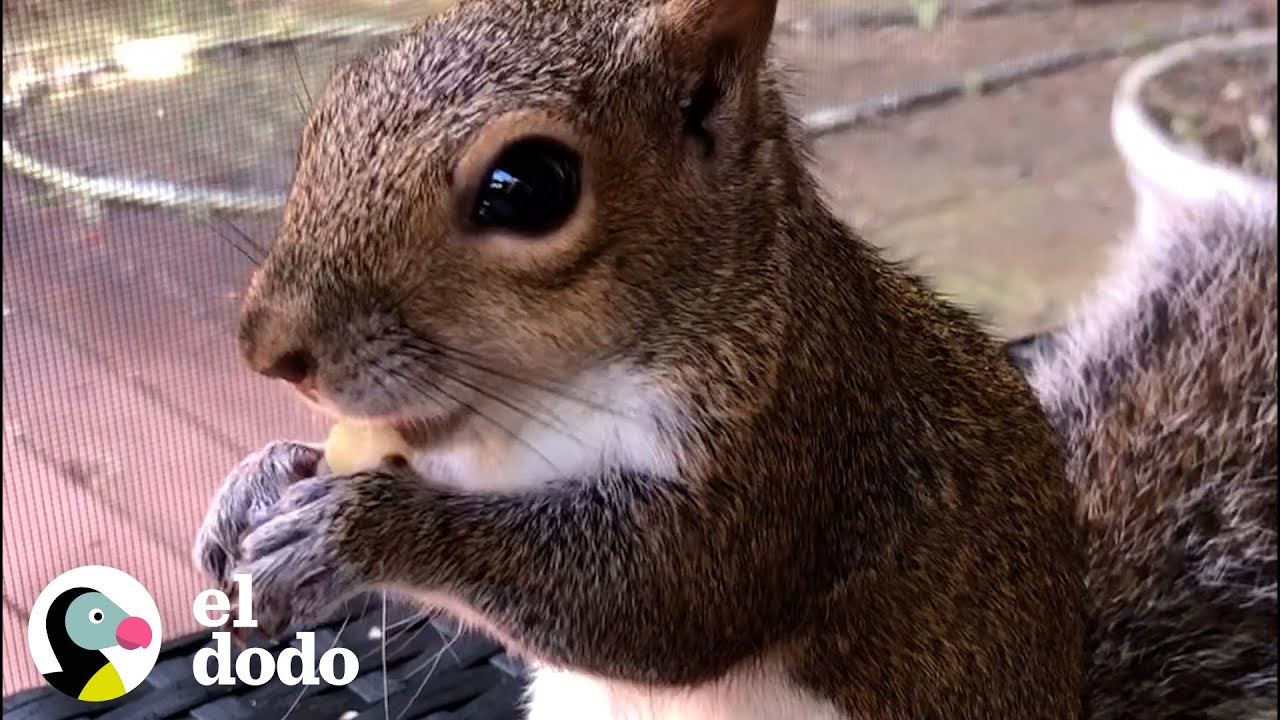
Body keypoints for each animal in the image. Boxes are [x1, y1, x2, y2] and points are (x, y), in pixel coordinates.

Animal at [191, 0, 1275, 717]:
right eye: (335, 103)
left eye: (528, 185)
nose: (267, 349)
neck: (535, 409)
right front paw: (260, 480)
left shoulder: (799, 442)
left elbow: (659, 604)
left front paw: (354, 532)